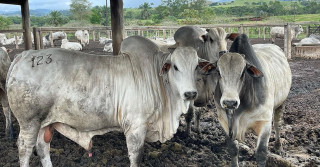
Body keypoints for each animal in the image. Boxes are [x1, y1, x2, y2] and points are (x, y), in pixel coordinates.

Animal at [6, 36, 214, 166]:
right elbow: (136, 157)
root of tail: (23, 56)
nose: (190, 94)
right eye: (175, 67)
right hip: (29, 123)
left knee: (43, 148)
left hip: (43, 123)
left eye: (197, 66)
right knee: (24, 149)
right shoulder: (135, 127)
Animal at [212, 33, 292, 166]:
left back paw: (278, 147)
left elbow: (261, 153)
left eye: (243, 72)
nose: (230, 102)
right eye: (218, 72)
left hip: (282, 102)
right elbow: (233, 149)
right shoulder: (224, 121)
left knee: (277, 124)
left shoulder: (265, 122)